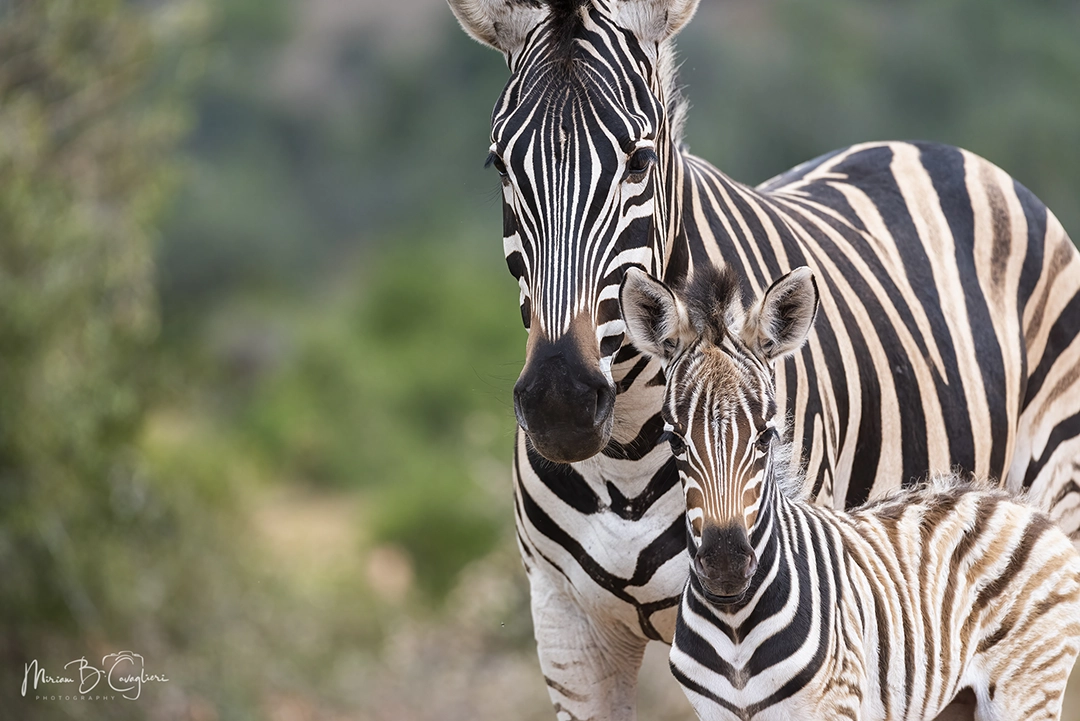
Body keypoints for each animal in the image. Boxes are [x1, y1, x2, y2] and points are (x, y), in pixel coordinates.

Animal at [620, 263, 1080, 721]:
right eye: (674, 441)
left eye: (766, 437)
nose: (725, 567)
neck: (734, 625)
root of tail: (1020, 505)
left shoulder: (834, 704)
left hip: (1025, 693)